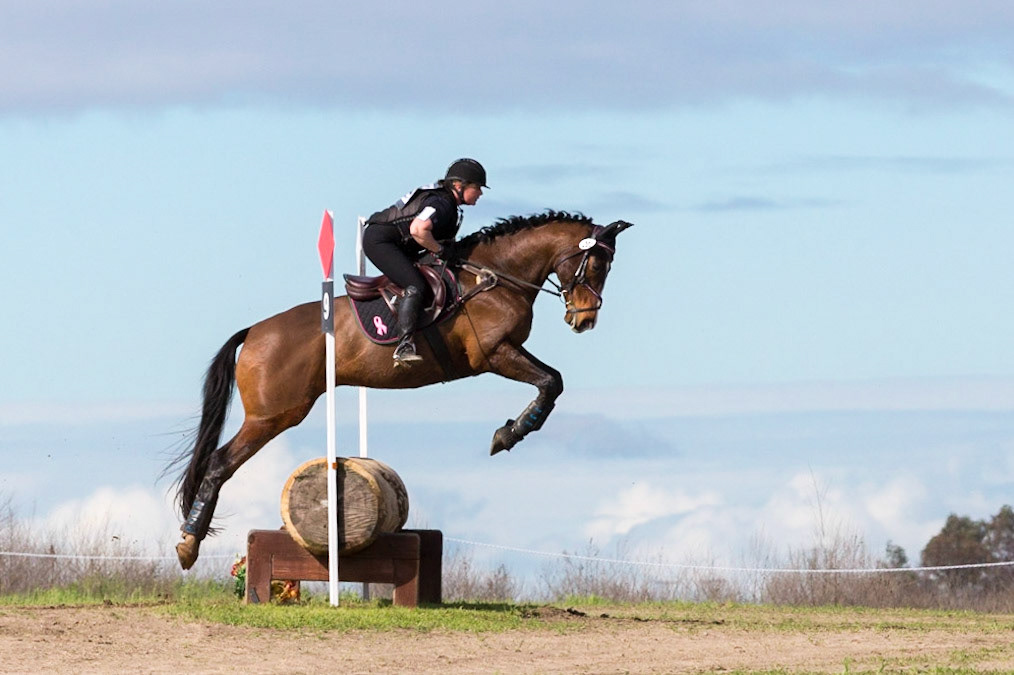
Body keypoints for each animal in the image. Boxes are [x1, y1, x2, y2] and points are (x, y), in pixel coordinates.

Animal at [171, 211, 633, 569]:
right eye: (596, 266)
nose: (584, 319)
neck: (496, 277)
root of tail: (254, 332)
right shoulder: (494, 354)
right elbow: (551, 382)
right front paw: (508, 435)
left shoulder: (506, 353)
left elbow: (552, 382)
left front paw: (509, 431)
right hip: (273, 414)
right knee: (218, 464)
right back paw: (188, 544)